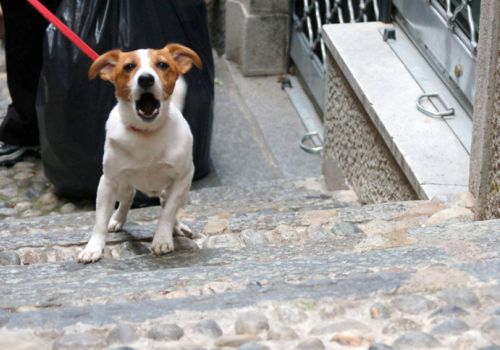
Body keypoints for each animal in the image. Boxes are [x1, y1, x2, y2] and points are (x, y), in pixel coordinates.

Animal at [77, 43, 200, 262]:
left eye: (162, 64)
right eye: (129, 67)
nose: (146, 78)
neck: (146, 133)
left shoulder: (182, 179)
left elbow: (168, 213)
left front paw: (162, 239)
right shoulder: (107, 182)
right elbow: (100, 220)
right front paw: (93, 247)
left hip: (182, 191)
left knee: (168, 205)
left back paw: (177, 227)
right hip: (123, 185)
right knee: (128, 198)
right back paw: (117, 220)